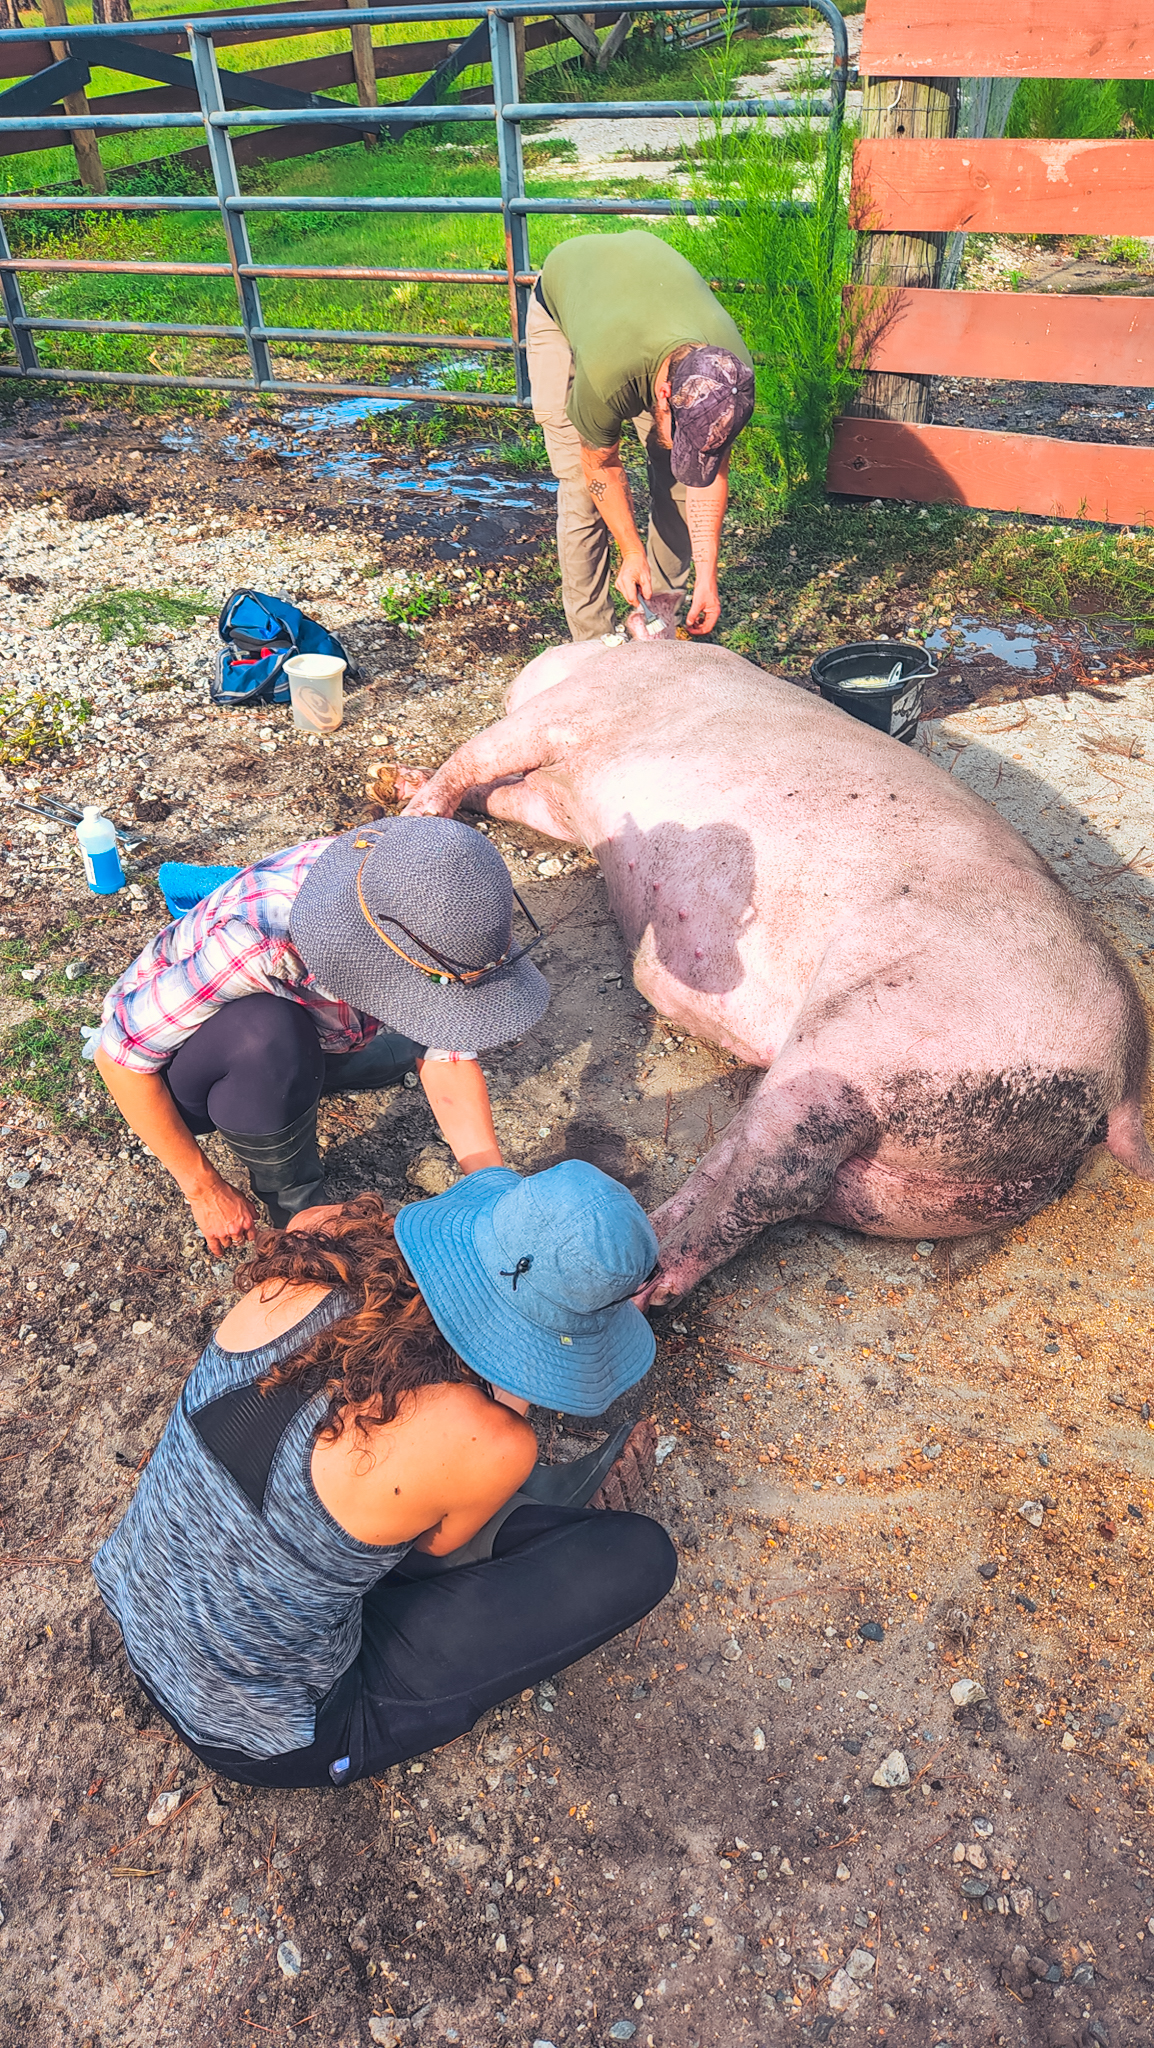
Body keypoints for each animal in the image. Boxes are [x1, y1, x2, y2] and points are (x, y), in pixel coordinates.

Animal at [399, 639, 1154, 1298]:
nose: (541, 658)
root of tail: (1122, 1081)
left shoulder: (578, 710)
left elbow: (478, 753)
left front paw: (408, 811)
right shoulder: (561, 802)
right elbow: (505, 795)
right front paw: (402, 787)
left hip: (874, 1043)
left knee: (774, 1172)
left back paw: (637, 1279)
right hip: (928, 1182)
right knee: (788, 1184)